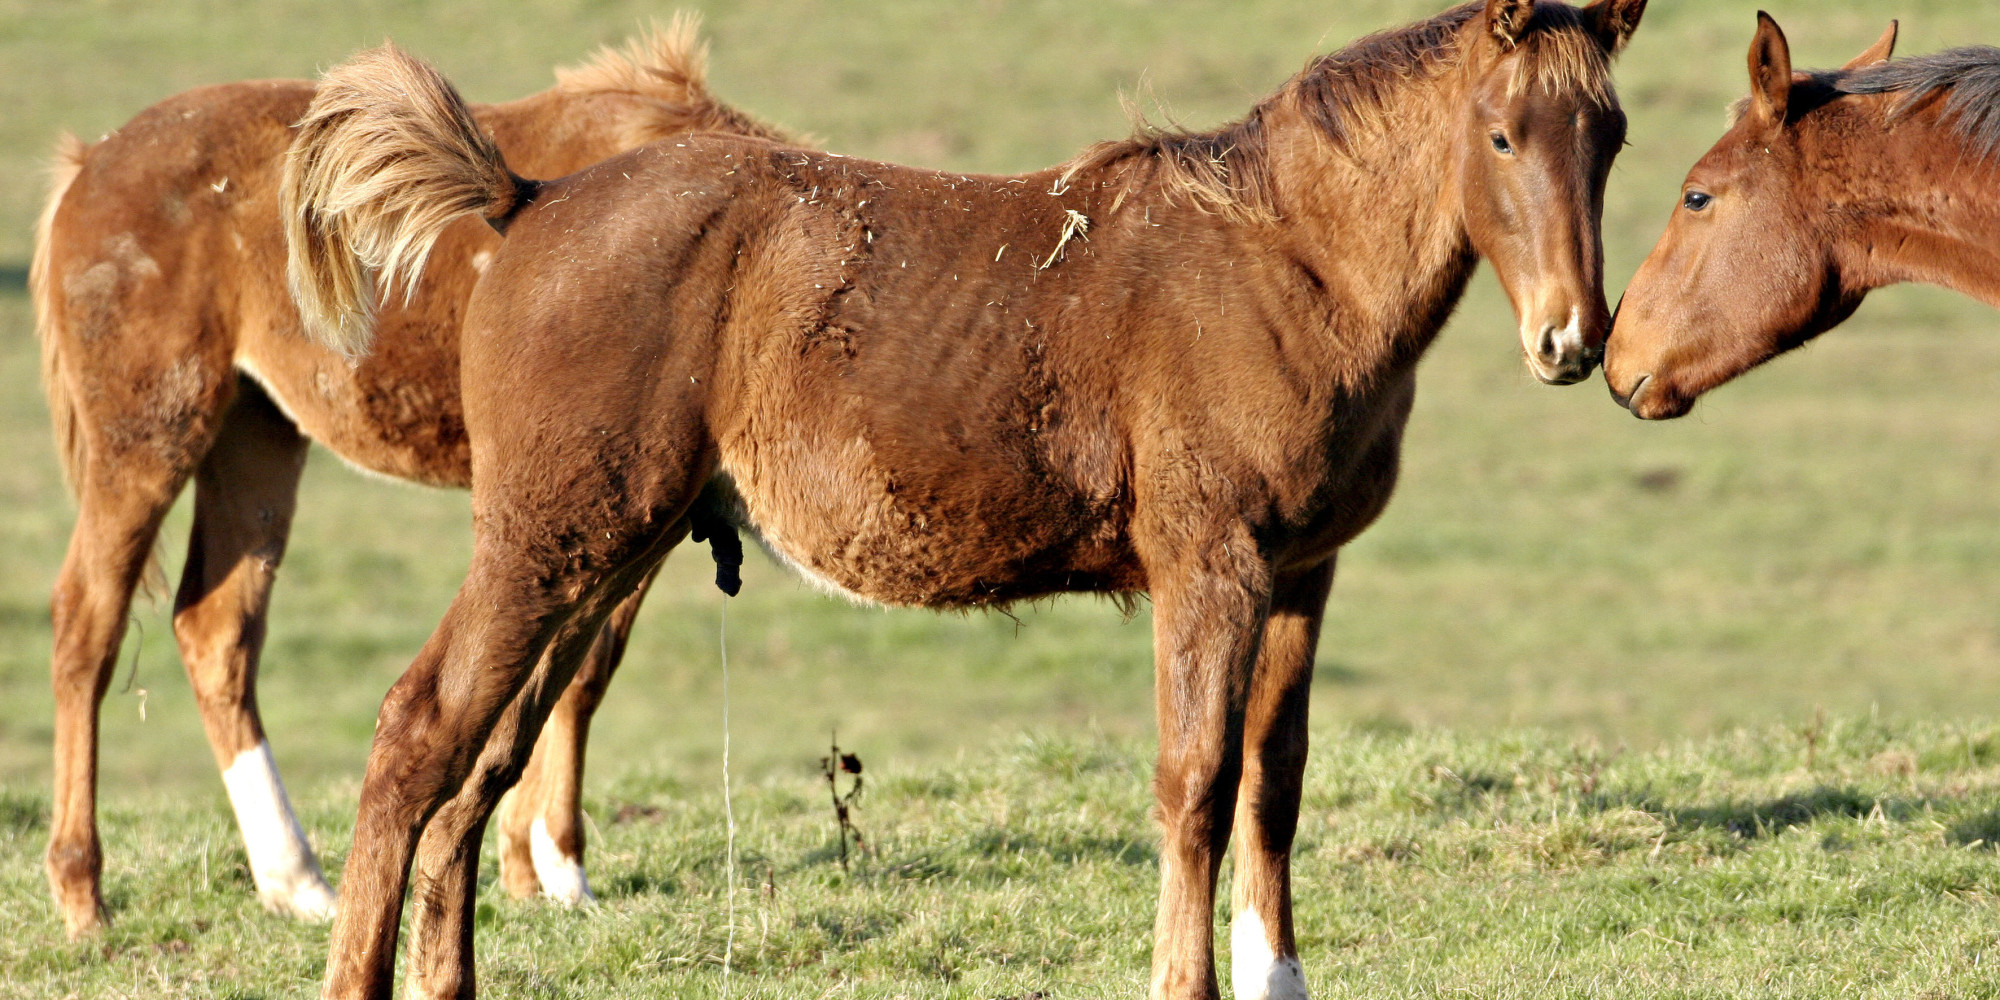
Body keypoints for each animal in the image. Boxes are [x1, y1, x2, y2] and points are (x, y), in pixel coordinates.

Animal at [28, 16, 788, 938]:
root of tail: (86, 165)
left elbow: (563, 674)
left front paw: (520, 868)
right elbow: (580, 679)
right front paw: (560, 867)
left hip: (257, 436)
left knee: (215, 630)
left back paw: (299, 883)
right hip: (150, 438)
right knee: (87, 625)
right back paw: (82, 893)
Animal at [283, 1, 1644, 996]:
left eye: (1612, 135)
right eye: (1502, 135)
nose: (1572, 341)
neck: (1283, 267)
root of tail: (526, 201)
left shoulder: (1304, 571)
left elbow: (1275, 782)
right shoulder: (1210, 566)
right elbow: (1196, 783)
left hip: (602, 553)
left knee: (483, 767)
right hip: (549, 542)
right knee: (417, 733)